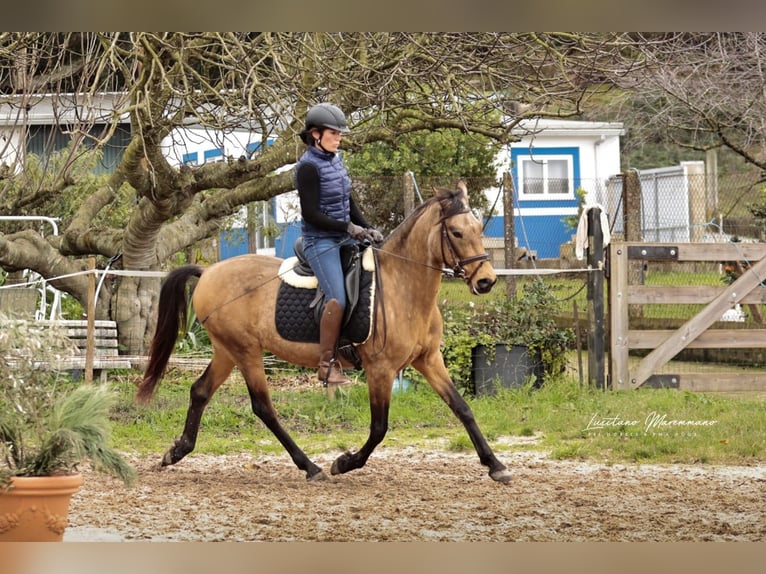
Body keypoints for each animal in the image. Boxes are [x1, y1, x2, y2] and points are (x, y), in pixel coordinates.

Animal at [137, 180, 512, 484]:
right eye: (457, 232)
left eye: (478, 227)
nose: (486, 281)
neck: (403, 286)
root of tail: (208, 271)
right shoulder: (380, 369)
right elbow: (379, 428)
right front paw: (344, 463)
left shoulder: (429, 359)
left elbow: (462, 407)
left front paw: (495, 465)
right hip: (245, 351)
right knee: (263, 408)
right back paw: (311, 467)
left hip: (226, 350)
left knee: (200, 391)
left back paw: (177, 451)